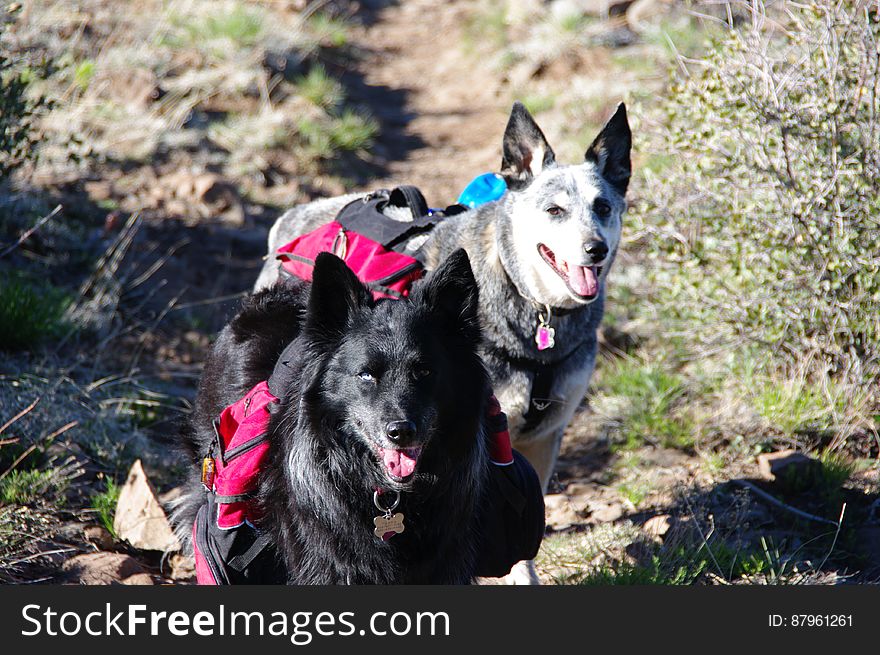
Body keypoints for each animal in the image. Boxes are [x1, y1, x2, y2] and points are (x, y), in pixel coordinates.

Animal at [251, 102, 628, 584]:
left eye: (603, 207)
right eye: (554, 210)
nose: (595, 249)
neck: (532, 307)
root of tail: (290, 216)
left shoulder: (545, 434)